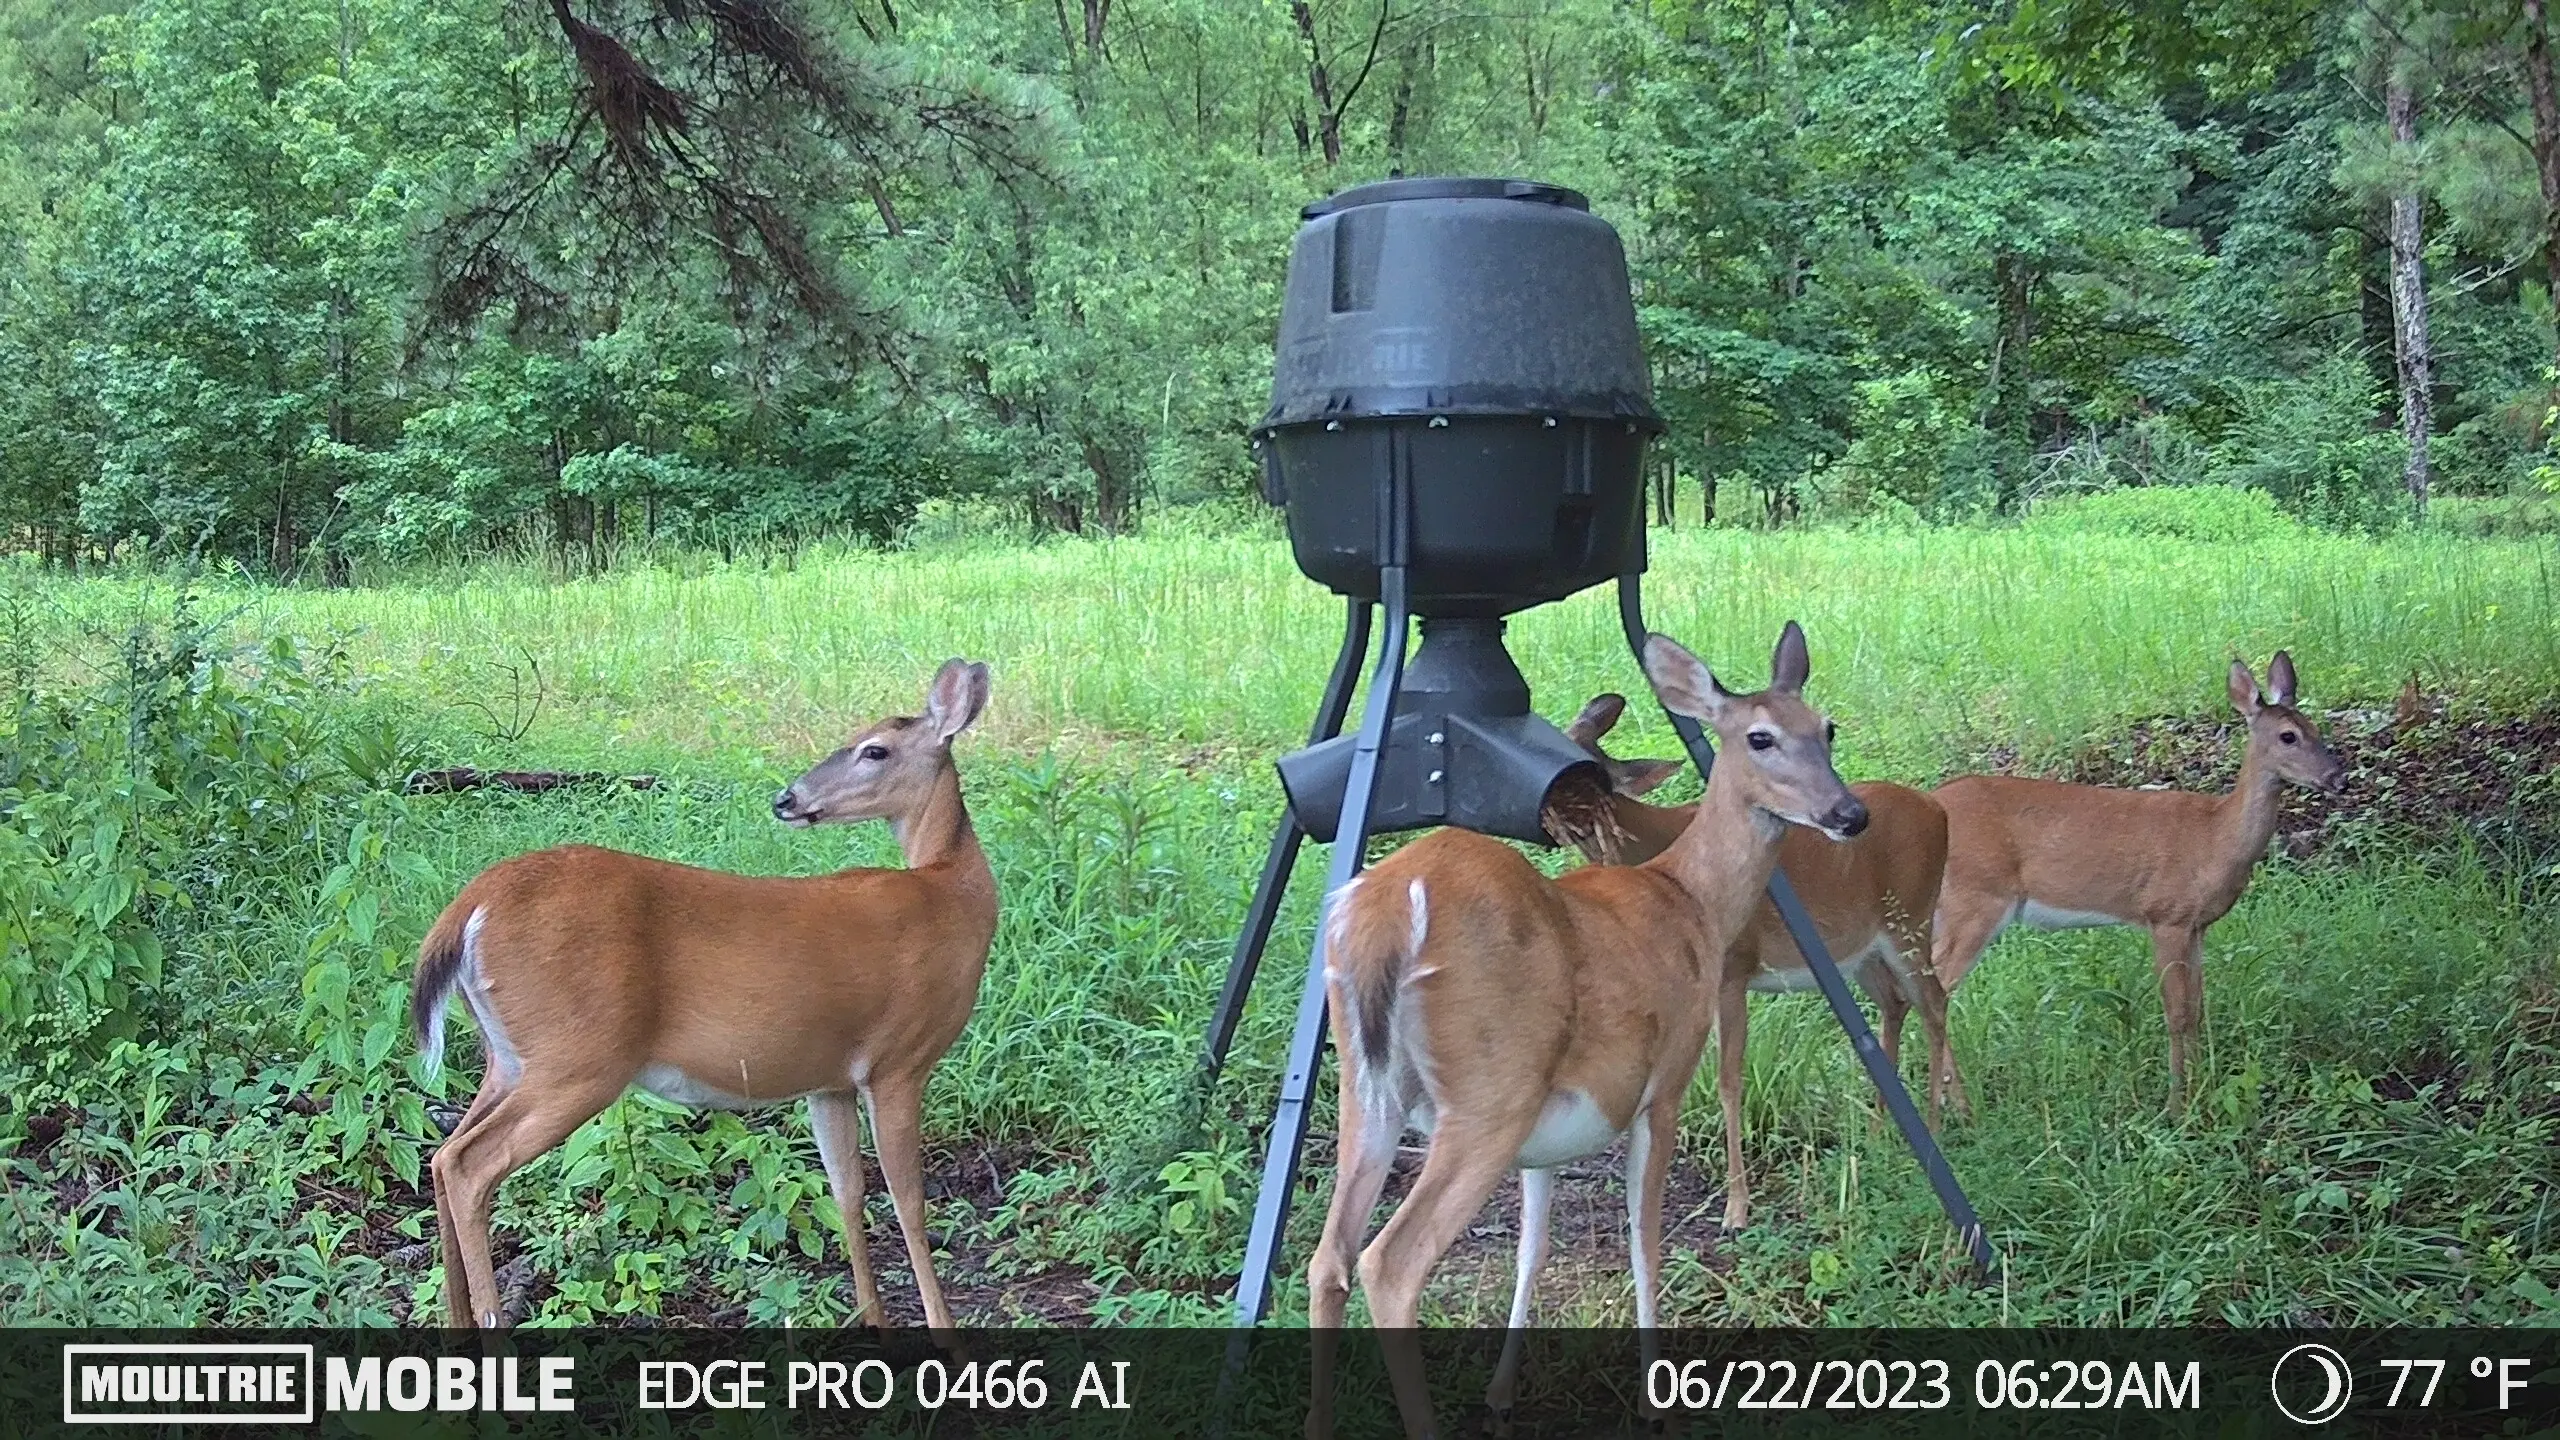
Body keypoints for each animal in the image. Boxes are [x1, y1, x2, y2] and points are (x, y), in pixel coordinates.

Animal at [407, 655, 988, 1332]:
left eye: (874, 748)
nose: (788, 799)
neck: (952, 893)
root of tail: (470, 906)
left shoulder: (830, 1080)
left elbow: (847, 1194)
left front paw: (873, 1319)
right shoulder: (900, 1060)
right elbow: (908, 1203)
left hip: (508, 1057)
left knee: (442, 1156)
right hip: (578, 1059)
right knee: (468, 1165)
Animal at [1310, 620, 1873, 1434]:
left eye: (1826, 728)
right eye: (1760, 737)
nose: (1849, 814)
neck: (1690, 900)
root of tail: (1387, 908)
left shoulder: (1544, 1138)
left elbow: (1533, 1248)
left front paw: (1502, 1393)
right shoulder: (1667, 1079)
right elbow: (1645, 1239)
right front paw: (1653, 1399)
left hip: (1366, 1084)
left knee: (1328, 1258)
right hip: (1489, 1091)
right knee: (1389, 1262)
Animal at [1546, 691, 1966, 1229]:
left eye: (1591, 771)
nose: (1563, 823)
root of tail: (1939, 808)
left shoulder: (1734, 969)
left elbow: (1728, 1081)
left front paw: (1736, 1205)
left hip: (1911, 917)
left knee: (1934, 1000)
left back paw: (1945, 1123)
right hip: (1862, 950)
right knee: (1899, 1005)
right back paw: (1881, 1135)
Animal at [1935, 650, 2344, 1096]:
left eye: (2317, 728)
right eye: (2288, 736)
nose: (2336, 777)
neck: (2215, 838)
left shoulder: (2197, 925)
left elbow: (2197, 1008)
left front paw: (2203, 1085)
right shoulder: (2165, 915)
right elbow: (2177, 1014)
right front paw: (2179, 1100)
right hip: (1975, 899)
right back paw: (1957, 1103)